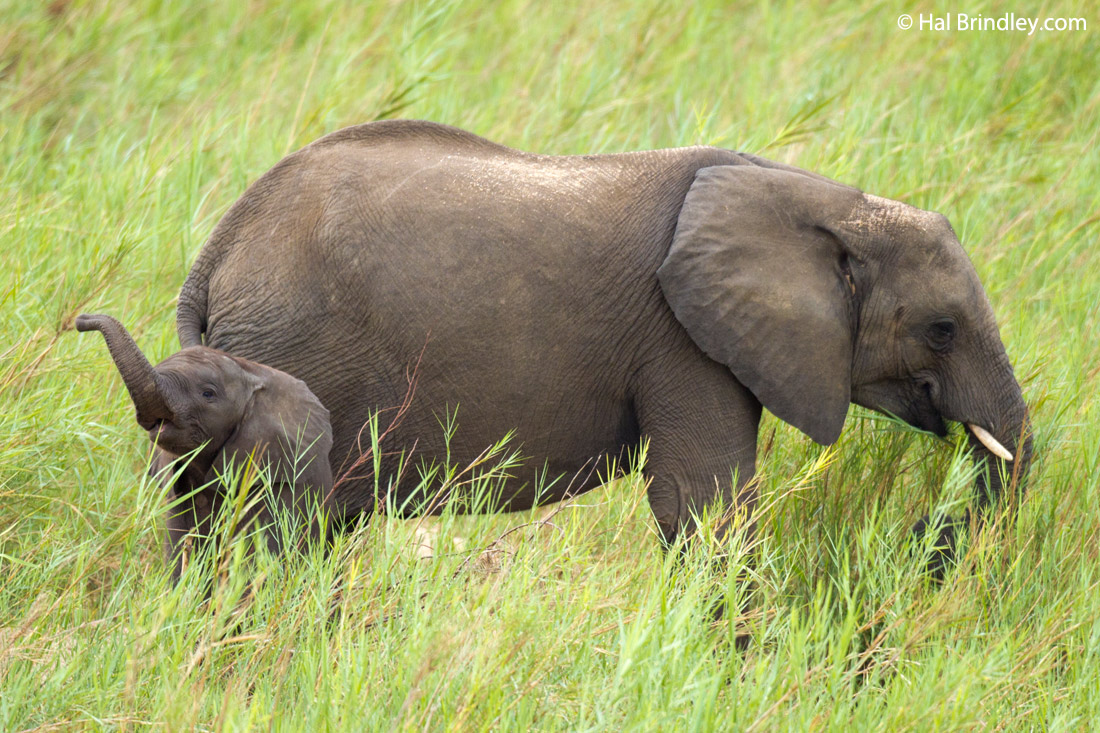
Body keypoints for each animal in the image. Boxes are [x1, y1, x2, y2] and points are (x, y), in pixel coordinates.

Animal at [178, 117, 1029, 556]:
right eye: (942, 329)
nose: (921, 532)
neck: (829, 201)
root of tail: (218, 250)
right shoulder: (681, 338)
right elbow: (704, 503)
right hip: (292, 353)